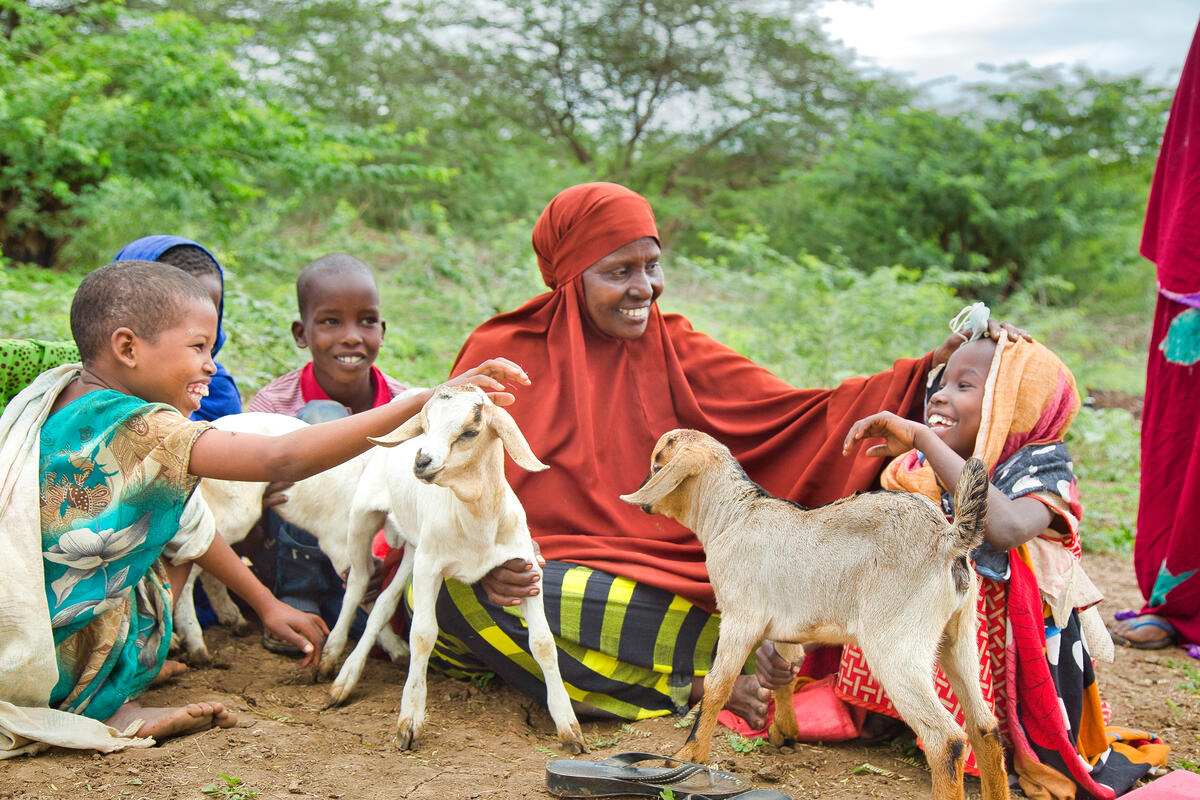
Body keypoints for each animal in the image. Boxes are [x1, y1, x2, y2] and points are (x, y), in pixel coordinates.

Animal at [175, 410, 408, 666]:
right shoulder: (340, 542)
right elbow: (362, 592)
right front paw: (394, 647)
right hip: (232, 513)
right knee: (191, 564)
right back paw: (195, 643)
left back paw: (232, 618)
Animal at [324, 388, 585, 758]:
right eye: (425, 426)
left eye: (469, 432)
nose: (421, 461)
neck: (476, 518)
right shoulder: (430, 568)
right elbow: (422, 635)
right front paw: (409, 723)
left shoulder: (526, 566)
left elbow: (543, 643)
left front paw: (569, 727)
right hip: (363, 517)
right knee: (358, 583)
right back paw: (332, 663)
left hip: (413, 548)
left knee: (383, 604)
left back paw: (350, 673)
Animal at [624, 431, 1008, 800]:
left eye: (657, 463)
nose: (643, 498)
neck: (733, 515)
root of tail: (948, 538)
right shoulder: (784, 628)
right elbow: (785, 674)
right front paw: (785, 732)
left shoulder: (740, 616)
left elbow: (718, 684)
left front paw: (688, 757)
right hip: (959, 636)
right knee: (984, 725)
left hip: (896, 644)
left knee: (946, 739)